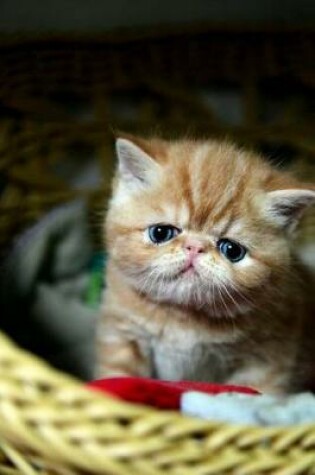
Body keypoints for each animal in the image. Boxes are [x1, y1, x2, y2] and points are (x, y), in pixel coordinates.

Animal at [97, 134, 315, 394]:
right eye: (160, 233)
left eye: (232, 250)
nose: (195, 247)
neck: (185, 318)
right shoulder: (121, 334)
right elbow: (117, 375)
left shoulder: (269, 357)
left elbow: (256, 391)